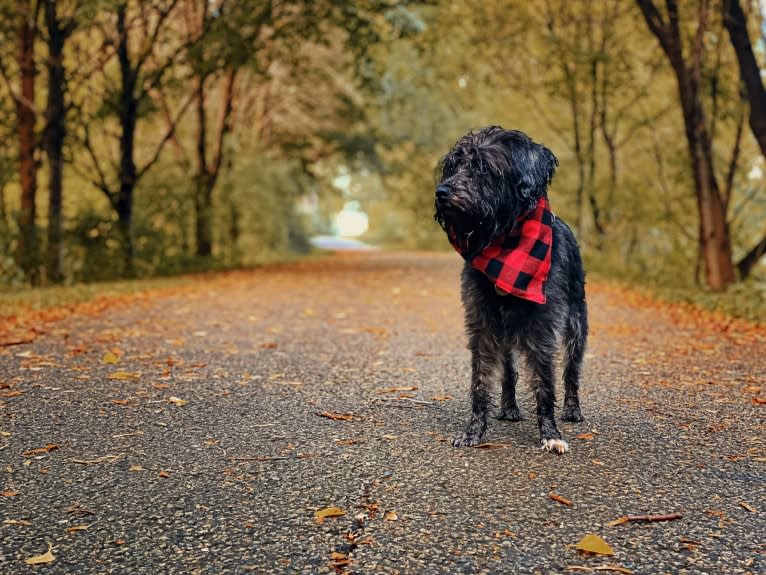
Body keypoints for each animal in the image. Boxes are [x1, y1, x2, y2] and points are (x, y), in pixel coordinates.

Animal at [436, 126, 592, 454]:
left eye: (482, 166)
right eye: (453, 166)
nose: (441, 192)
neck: (505, 242)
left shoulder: (543, 327)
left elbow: (546, 383)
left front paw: (550, 433)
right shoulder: (481, 324)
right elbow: (480, 382)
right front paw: (473, 432)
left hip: (577, 324)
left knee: (571, 370)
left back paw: (572, 409)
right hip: (505, 334)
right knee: (509, 373)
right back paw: (509, 408)